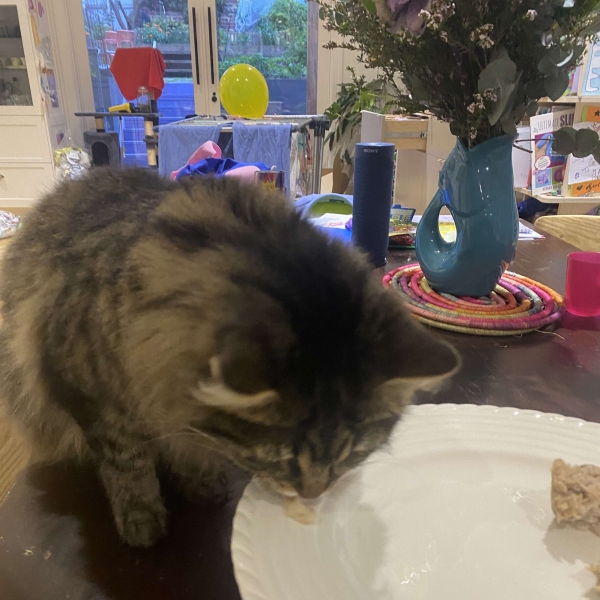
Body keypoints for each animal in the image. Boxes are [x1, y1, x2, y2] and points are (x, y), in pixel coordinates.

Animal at [0, 168, 458, 547]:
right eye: (283, 458)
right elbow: (127, 462)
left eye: (350, 455)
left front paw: (199, 478)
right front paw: (141, 516)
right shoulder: (93, 399)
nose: (313, 494)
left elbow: (187, 445)